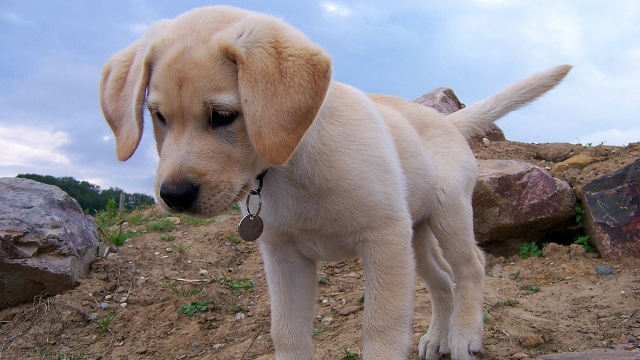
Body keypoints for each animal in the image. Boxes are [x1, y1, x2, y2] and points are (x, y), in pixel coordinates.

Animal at [100, 6, 568, 360]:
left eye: (223, 116)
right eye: (158, 116)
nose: (174, 196)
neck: (289, 166)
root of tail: (446, 120)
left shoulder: (383, 241)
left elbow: (381, 333)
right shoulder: (284, 256)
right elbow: (287, 335)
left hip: (447, 215)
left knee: (470, 266)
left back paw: (465, 336)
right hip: (415, 233)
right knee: (440, 281)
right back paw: (438, 337)